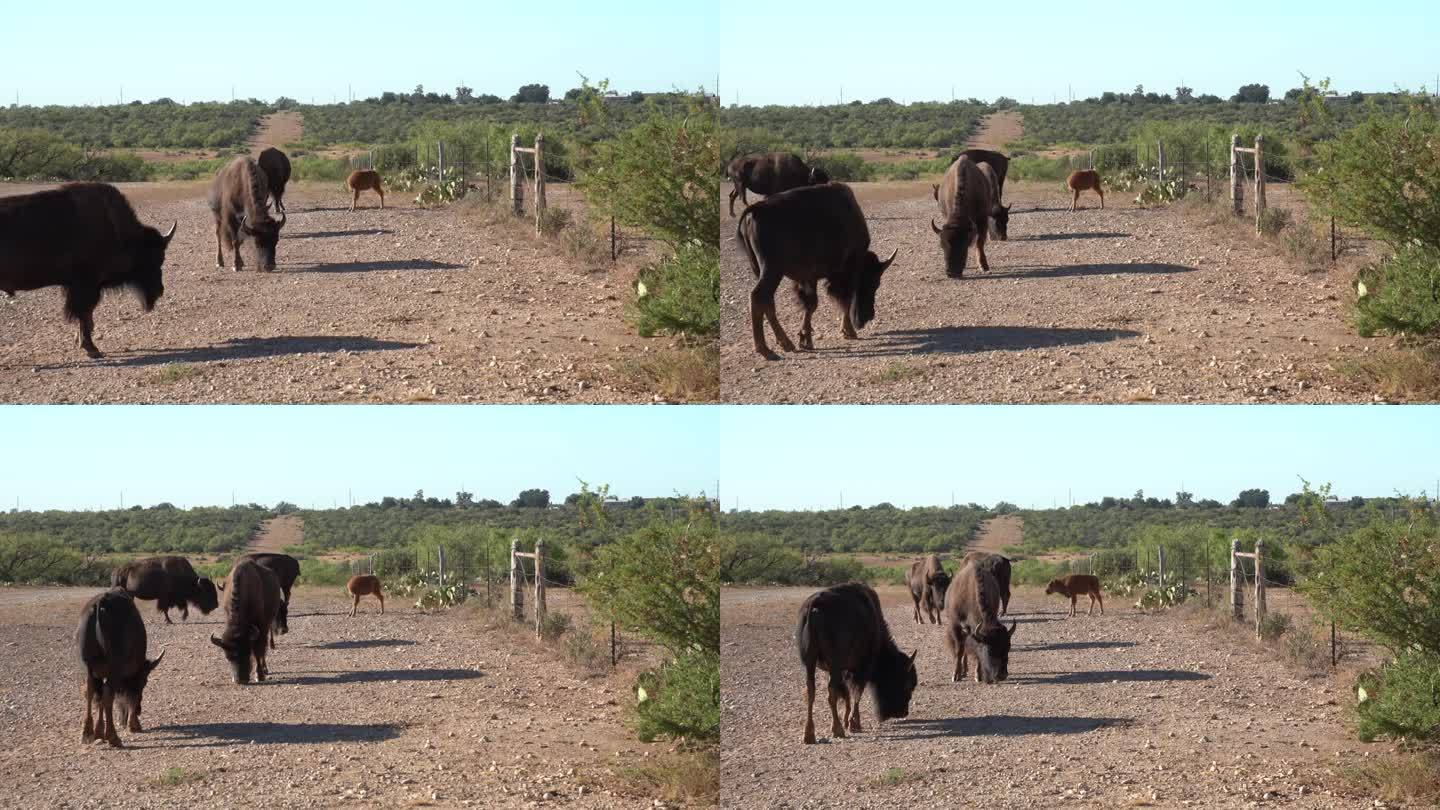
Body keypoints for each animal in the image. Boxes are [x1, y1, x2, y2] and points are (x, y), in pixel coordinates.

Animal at [0, 185, 177, 358]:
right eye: (154, 258)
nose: (160, 290)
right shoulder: (86, 287)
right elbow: (85, 316)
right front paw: (91, 348)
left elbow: (87, 317)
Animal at [74, 585, 163, 743]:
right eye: (145, 681)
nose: (139, 710)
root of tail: (100, 605)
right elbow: (131, 695)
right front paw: (134, 725)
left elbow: (98, 699)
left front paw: (98, 732)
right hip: (114, 669)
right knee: (108, 694)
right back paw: (113, 737)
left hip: (87, 667)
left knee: (90, 691)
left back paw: (87, 733)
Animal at [737, 184, 892, 360]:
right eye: (873, 283)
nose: (870, 316)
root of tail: (756, 209)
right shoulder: (840, 274)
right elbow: (838, 301)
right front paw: (848, 332)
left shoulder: (808, 279)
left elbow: (810, 305)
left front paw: (806, 340)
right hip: (771, 271)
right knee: (758, 297)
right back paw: (767, 350)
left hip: (763, 271)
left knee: (767, 302)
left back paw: (786, 344)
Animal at [794, 579, 915, 743]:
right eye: (906, 684)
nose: (903, 712)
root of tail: (815, 604)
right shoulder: (860, 668)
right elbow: (856, 692)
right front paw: (854, 723)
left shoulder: (844, 671)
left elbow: (847, 694)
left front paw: (847, 721)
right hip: (834, 665)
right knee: (831, 693)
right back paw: (837, 730)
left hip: (810, 663)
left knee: (811, 691)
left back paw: (809, 735)